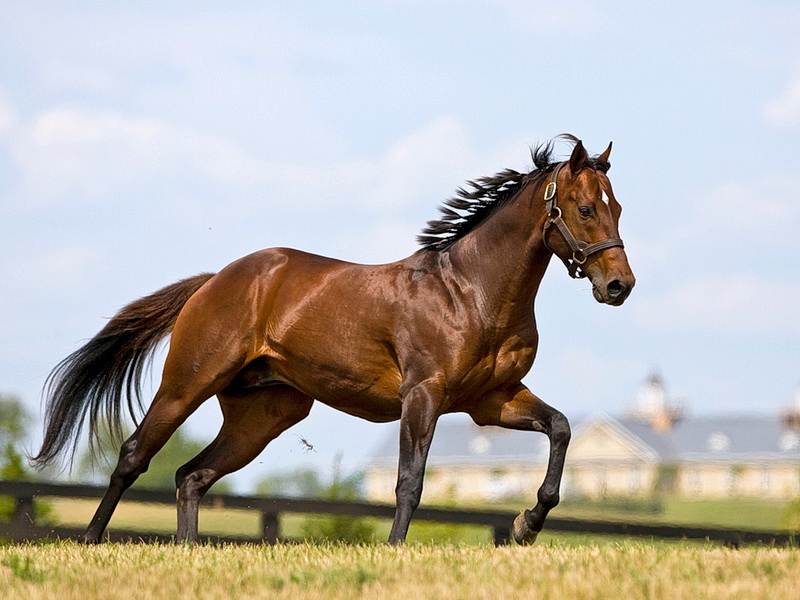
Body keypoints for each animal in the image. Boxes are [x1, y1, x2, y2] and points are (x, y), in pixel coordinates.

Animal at [31, 135, 636, 544]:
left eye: (619, 207)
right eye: (586, 208)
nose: (619, 286)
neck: (470, 292)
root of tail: (215, 280)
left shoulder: (492, 401)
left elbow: (560, 428)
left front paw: (526, 524)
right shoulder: (424, 396)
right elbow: (409, 481)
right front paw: (395, 549)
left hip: (266, 414)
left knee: (191, 475)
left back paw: (186, 549)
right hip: (187, 384)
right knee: (135, 456)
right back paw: (91, 540)